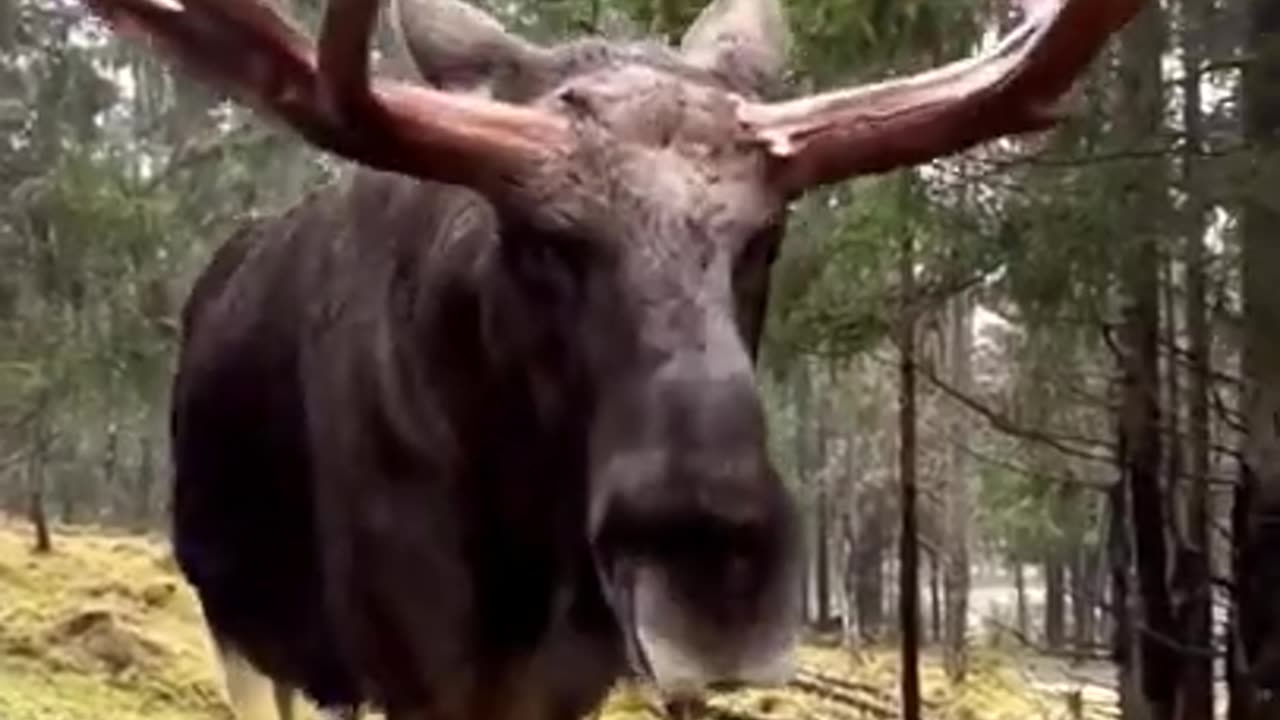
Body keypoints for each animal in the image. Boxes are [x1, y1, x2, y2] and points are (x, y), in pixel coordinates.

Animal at [80, 0, 1141, 712]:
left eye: (766, 238)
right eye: (541, 239)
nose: (715, 584)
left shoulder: (571, 675)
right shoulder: (413, 662)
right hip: (239, 617)